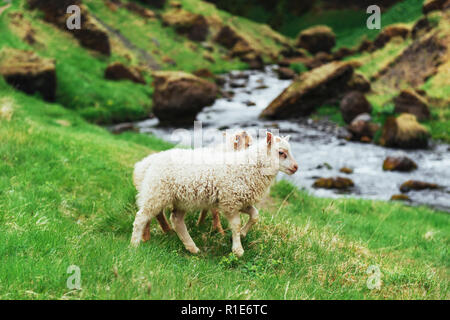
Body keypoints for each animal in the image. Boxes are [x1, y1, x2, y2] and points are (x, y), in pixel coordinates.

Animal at [132, 132, 298, 258]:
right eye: (281, 153)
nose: (296, 167)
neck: (249, 166)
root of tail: (153, 160)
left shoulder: (238, 200)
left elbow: (255, 215)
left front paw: (243, 234)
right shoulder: (230, 201)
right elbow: (236, 225)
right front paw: (238, 249)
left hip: (181, 199)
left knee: (177, 220)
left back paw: (192, 248)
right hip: (157, 193)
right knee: (141, 217)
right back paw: (134, 245)